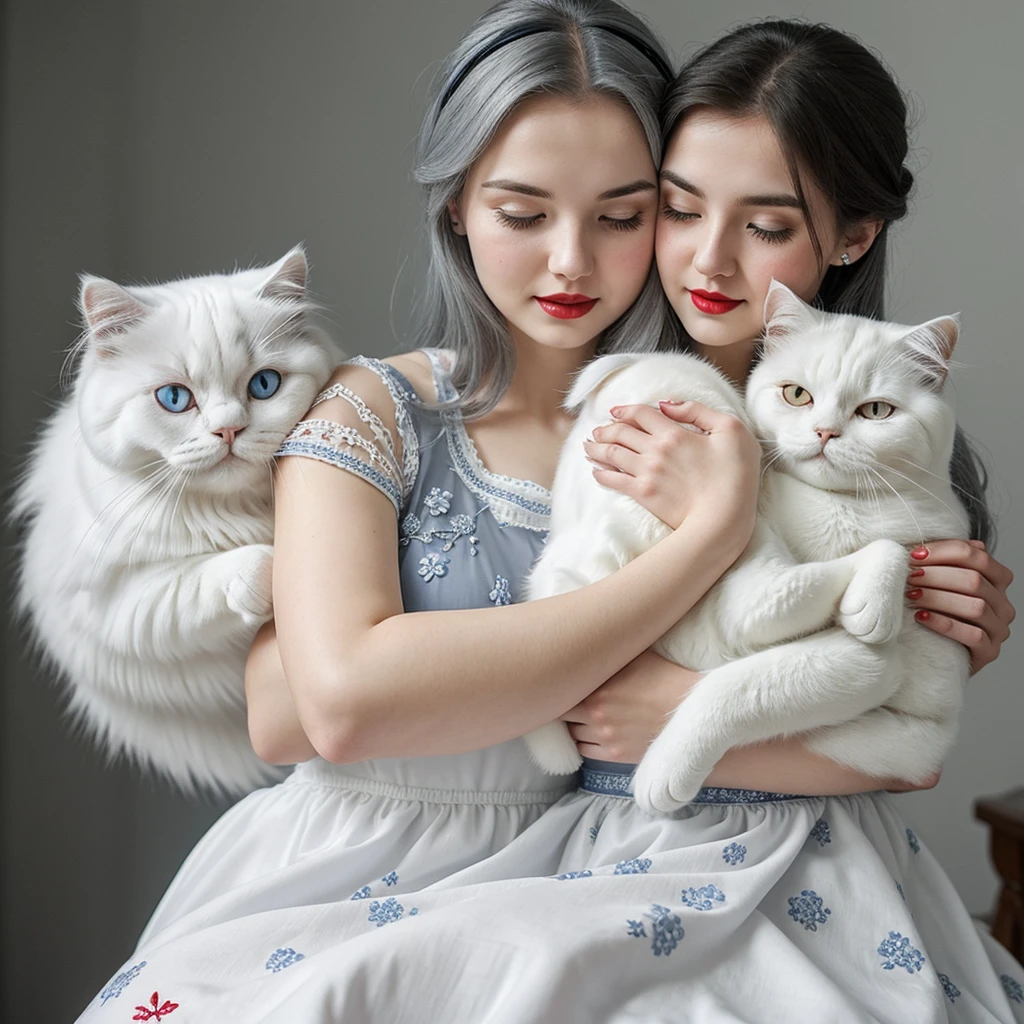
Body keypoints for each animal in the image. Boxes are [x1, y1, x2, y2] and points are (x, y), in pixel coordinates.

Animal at [12, 245, 337, 790]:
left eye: (264, 385)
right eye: (174, 398)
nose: (229, 430)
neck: (237, 514)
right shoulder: (122, 603)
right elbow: (230, 571)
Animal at [528, 282, 966, 815]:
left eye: (877, 411)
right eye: (797, 395)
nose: (825, 432)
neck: (836, 513)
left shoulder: (899, 703)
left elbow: (737, 686)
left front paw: (663, 768)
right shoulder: (868, 662)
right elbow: (741, 679)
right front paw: (665, 771)